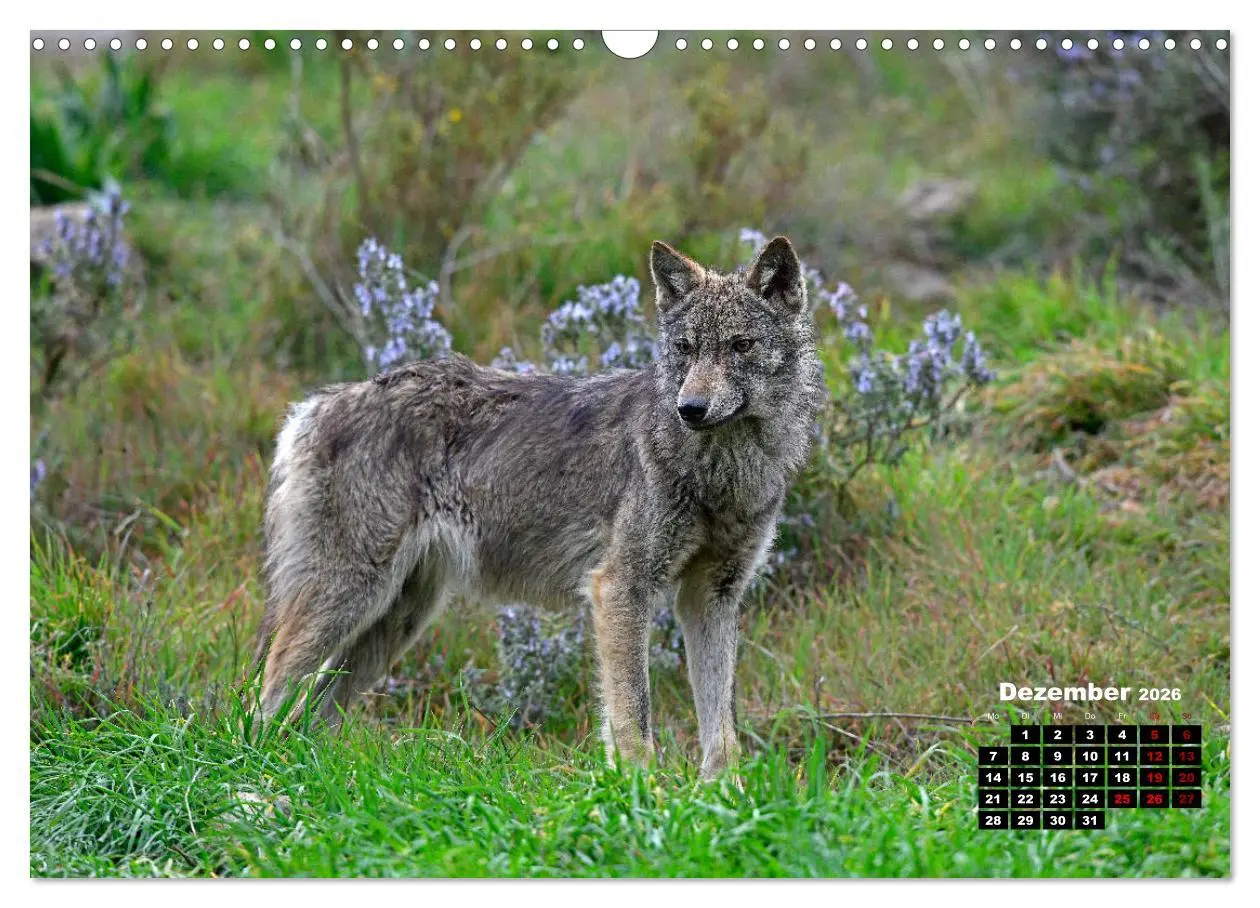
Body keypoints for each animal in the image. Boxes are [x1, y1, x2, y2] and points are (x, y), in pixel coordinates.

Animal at [253, 236, 825, 779]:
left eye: (740, 346)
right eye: (686, 348)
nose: (690, 408)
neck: (721, 472)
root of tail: (313, 406)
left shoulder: (712, 595)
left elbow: (722, 733)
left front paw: (724, 799)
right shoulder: (620, 587)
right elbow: (633, 719)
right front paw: (641, 795)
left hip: (397, 619)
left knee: (311, 712)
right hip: (350, 597)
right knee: (267, 692)